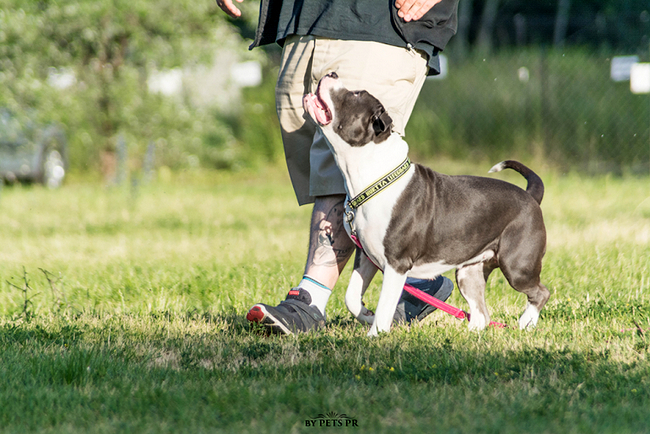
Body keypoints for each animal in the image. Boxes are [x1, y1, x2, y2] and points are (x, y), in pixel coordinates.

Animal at [303, 72, 550, 336]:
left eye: (356, 94)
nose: (331, 73)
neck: (374, 176)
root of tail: (530, 195)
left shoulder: (397, 264)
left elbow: (385, 305)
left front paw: (375, 335)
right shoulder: (367, 256)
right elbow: (351, 296)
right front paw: (366, 316)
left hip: (517, 266)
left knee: (540, 293)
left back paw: (526, 322)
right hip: (469, 271)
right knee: (481, 313)